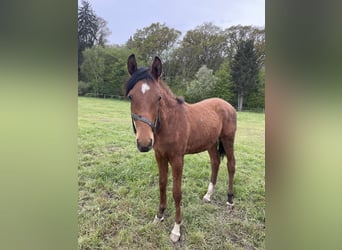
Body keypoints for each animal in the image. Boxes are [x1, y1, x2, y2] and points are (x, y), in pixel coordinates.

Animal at [124, 54, 236, 242]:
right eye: (131, 97)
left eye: (158, 98)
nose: (144, 143)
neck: (170, 123)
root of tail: (227, 105)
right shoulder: (160, 155)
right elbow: (162, 184)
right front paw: (159, 216)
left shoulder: (177, 159)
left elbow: (177, 192)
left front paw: (176, 229)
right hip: (211, 143)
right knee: (215, 163)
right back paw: (208, 196)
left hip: (228, 140)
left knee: (231, 165)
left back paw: (230, 200)